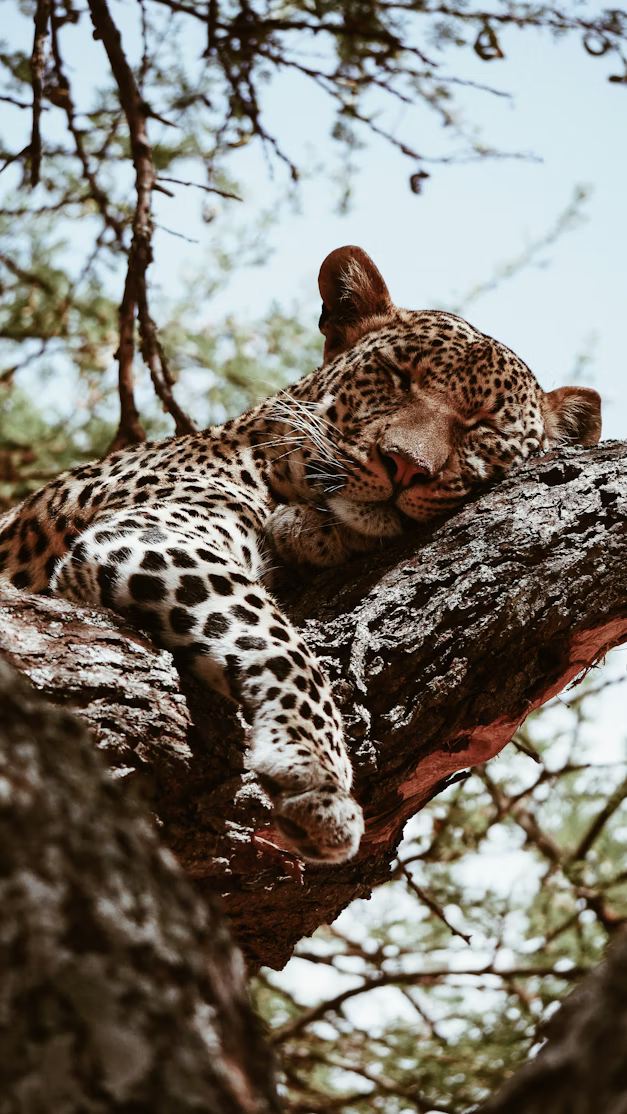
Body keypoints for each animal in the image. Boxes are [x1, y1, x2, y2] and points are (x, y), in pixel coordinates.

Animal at [0, 245, 602, 864]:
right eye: (397, 377)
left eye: (482, 427)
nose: (405, 464)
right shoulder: (150, 533)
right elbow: (277, 641)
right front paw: (316, 773)